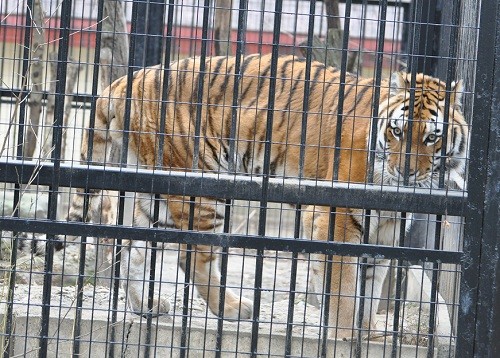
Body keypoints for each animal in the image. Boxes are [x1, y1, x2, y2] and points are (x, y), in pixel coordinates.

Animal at [60, 53, 466, 338]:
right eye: (398, 131)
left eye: (431, 137)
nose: (406, 171)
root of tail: (129, 79)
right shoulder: (335, 217)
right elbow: (342, 289)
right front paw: (343, 336)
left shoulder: (385, 230)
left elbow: (370, 283)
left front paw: (366, 332)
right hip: (201, 186)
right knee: (192, 256)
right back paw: (233, 308)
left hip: (156, 191)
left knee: (129, 247)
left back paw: (147, 305)